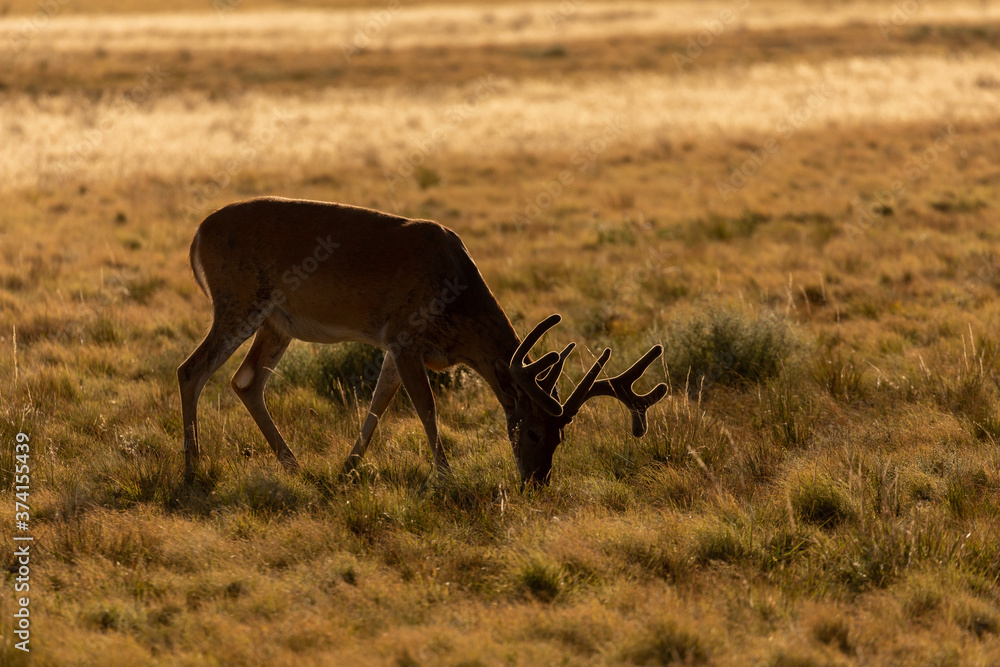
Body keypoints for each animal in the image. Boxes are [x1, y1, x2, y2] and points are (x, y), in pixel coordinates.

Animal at [178, 197, 668, 485]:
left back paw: (293, 464)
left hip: (278, 322)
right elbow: (426, 409)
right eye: (531, 431)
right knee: (192, 370)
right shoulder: (405, 335)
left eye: (561, 436)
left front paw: (348, 467)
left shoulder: (397, 346)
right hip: (237, 300)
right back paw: (192, 466)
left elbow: (378, 403)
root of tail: (197, 235)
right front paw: (446, 477)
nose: (537, 482)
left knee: (246, 381)